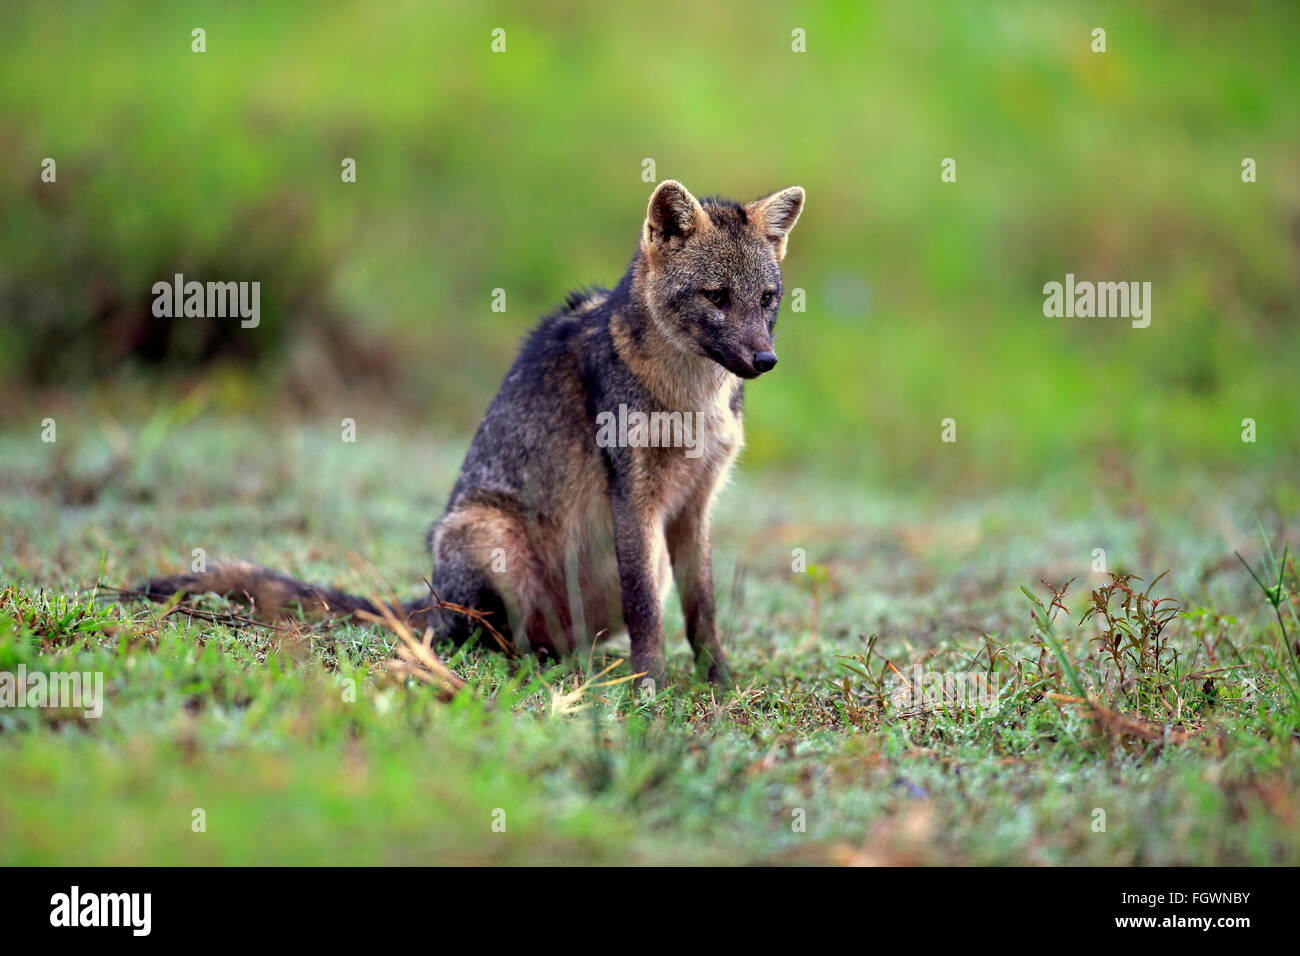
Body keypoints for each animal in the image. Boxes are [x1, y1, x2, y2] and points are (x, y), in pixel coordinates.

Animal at [147, 179, 806, 686]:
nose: (766, 360)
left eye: (767, 299)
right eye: (716, 297)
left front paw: (718, 681)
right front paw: (650, 687)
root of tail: (433, 598)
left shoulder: (696, 504)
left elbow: (704, 611)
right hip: (489, 538)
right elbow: (646, 609)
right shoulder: (635, 498)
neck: (693, 402)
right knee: (481, 638)